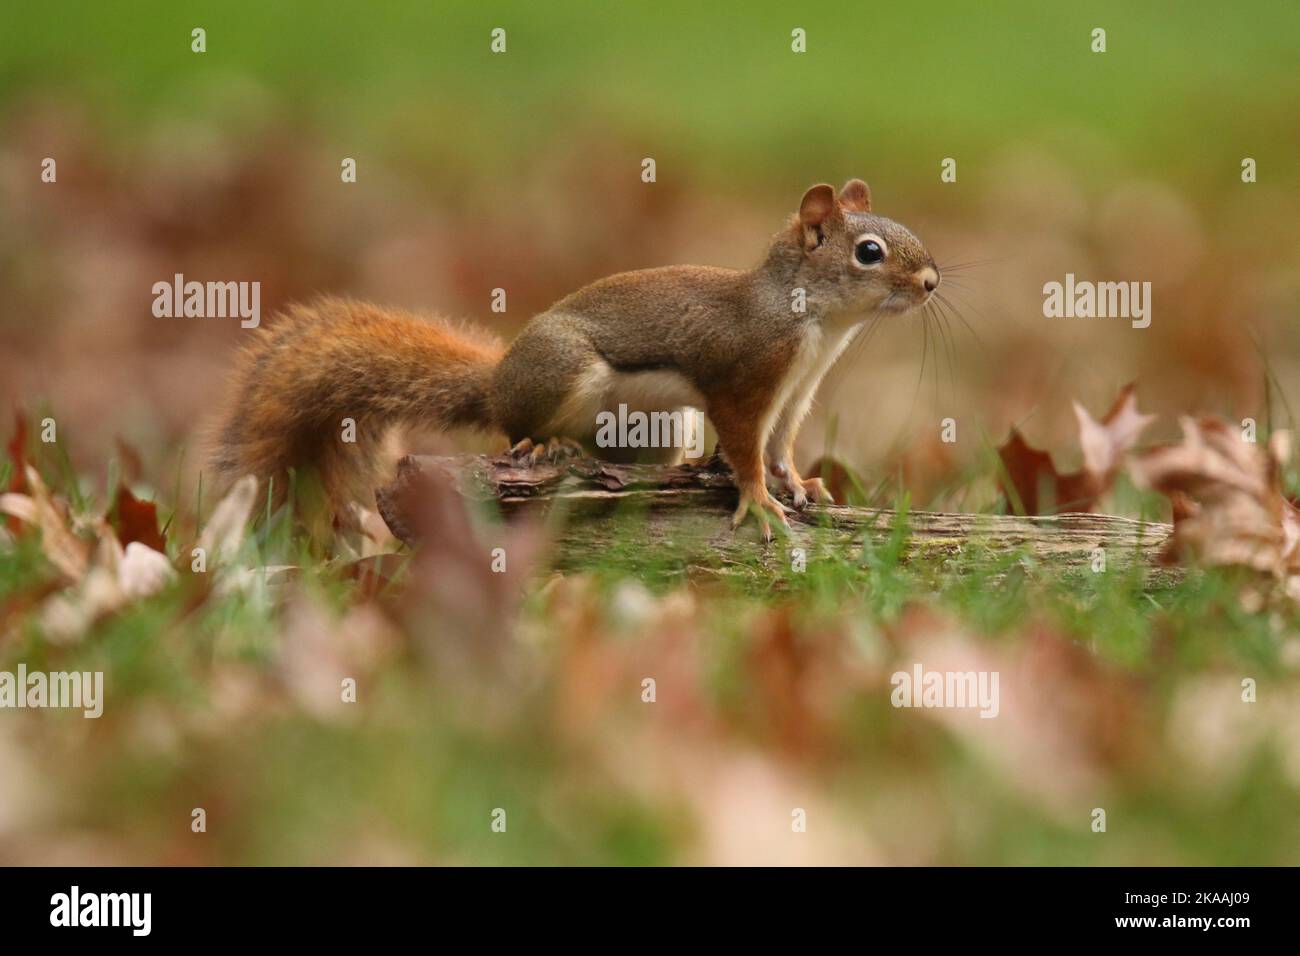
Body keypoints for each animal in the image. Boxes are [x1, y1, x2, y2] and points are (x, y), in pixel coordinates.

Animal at [211, 178, 939, 539]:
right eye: (869, 252)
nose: (932, 282)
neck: (817, 323)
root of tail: (499, 379)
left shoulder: (795, 390)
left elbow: (781, 445)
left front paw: (801, 484)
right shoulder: (745, 376)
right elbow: (745, 445)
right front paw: (759, 499)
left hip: (663, 426)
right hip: (564, 372)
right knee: (516, 428)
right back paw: (545, 448)